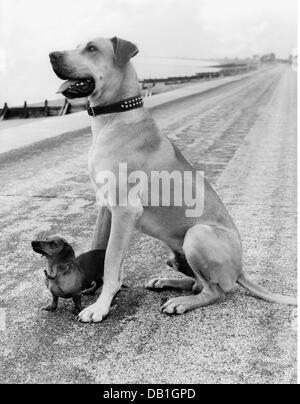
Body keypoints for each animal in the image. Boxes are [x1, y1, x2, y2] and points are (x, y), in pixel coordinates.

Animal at [49, 37, 296, 322]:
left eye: (91, 48)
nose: (52, 55)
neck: (113, 119)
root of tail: (241, 269)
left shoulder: (125, 210)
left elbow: (111, 259)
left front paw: (101, 306)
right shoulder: (105, 207)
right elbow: (98, 246)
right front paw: (93, 287)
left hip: (197, 235)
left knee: (215, 292)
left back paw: (181, 302)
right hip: (176, 255)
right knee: (198, 283)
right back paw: (167, 283)